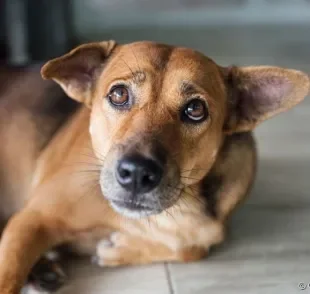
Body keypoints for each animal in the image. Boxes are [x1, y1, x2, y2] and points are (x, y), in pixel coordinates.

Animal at [0, 40, 308, 292]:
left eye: (195, 110)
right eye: (119, 94)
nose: (137, 173)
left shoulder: (207, 231)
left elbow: (191, 248)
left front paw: (118, 249)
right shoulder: (33, 218)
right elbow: (8, 273)